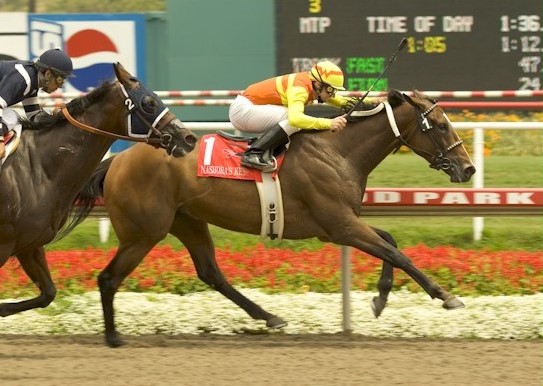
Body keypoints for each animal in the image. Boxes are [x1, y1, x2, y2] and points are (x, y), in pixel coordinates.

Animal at [0, 64, 198, 320]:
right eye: (149, 102)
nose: (188, 138)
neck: (40, 167)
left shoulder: (29, 244)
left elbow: (48, 293)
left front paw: (3, 309)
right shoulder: (5, 244)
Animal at [73, 89, 476, 346]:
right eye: (441, 125)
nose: (468, 168)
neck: (339, 150)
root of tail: (117, 160)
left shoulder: (337, 225)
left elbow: (389, 241)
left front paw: (380, 298)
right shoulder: (341, 225)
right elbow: (396, 252)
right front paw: (445, 296)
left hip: (187, 220)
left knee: (211, 273)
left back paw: (269, 317)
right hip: (144, 233)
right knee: (108, 278)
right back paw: (113, 337)